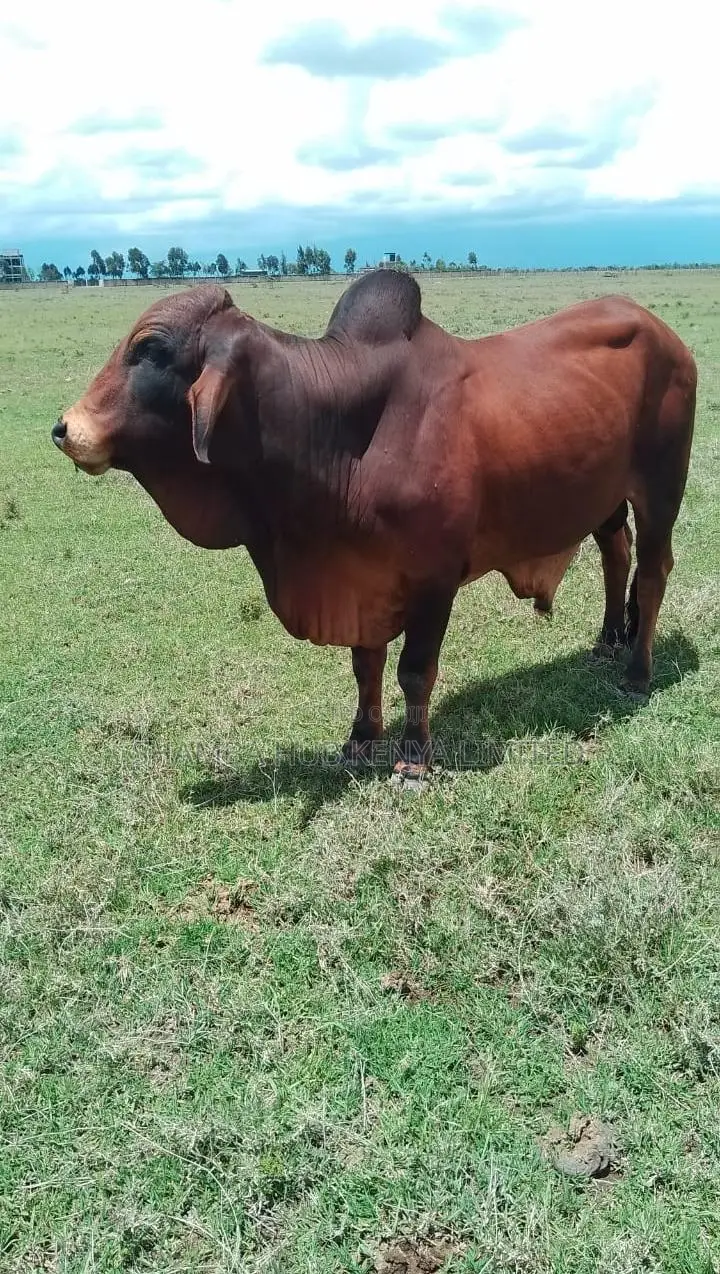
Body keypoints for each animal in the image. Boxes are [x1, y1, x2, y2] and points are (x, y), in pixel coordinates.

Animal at [52, 271, 697, 783]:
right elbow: (366, 665)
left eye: (150, 348)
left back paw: (637, 670)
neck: (338, 433)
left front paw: (413, 758)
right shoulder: (361, 575)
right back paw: (606, 641)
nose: (64, 428)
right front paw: (361, 739)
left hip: (662, 489)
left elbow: (415, 671)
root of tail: (662, 330)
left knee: (653, 574)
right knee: (616, 552)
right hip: (603, 494)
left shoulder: (435, 580)